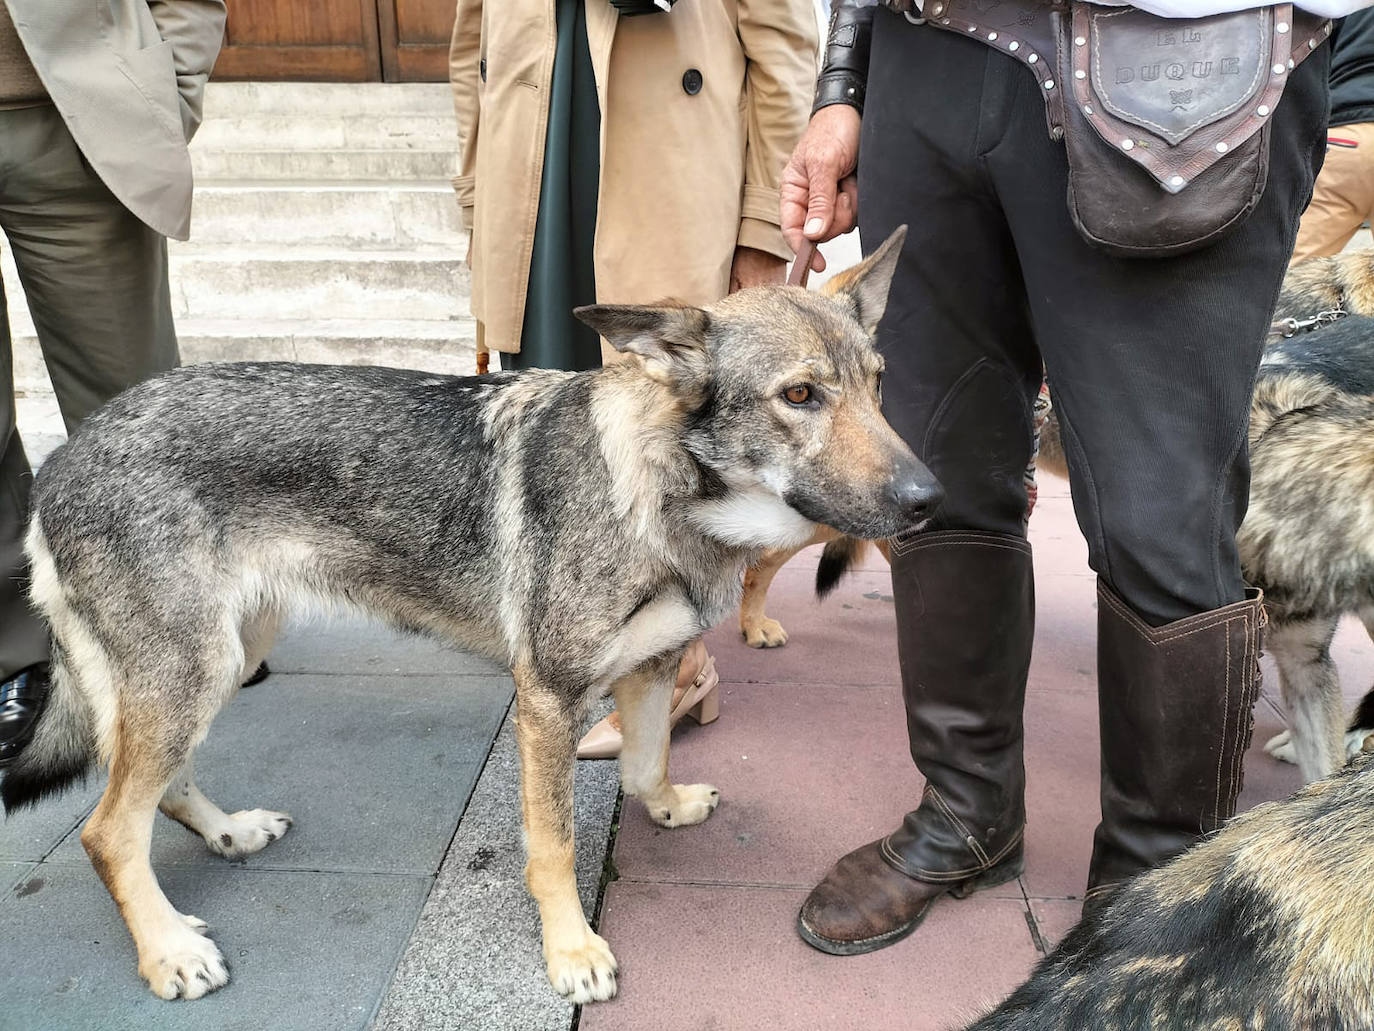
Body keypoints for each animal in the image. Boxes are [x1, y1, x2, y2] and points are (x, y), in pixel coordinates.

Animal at [0, 228, 939, 1003]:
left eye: (878, 385)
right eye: (801, 395)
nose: (931, 499)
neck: (660, 492)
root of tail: (63, 457)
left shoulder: (650, 668)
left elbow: (644, 766)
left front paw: (667, 808)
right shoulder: (548, 701)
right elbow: (552, 846)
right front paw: (571, 951)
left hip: (221, 660)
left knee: (153, 788)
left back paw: (229, 833)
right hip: (189, 674)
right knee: (105, 829)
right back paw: (167, 950)